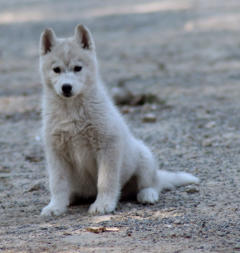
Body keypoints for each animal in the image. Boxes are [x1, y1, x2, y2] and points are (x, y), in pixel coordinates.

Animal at [39, 24, 198, 215]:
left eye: (78, 68)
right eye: (56, 70)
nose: (66, 87)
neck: (72, 110)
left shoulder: (108, 146)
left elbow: (105, 181)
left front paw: (103, 204)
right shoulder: (56, 153)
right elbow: (58, 183)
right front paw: (55, 206)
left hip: (144, 158)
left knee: (152, 184)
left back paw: (147, 194)